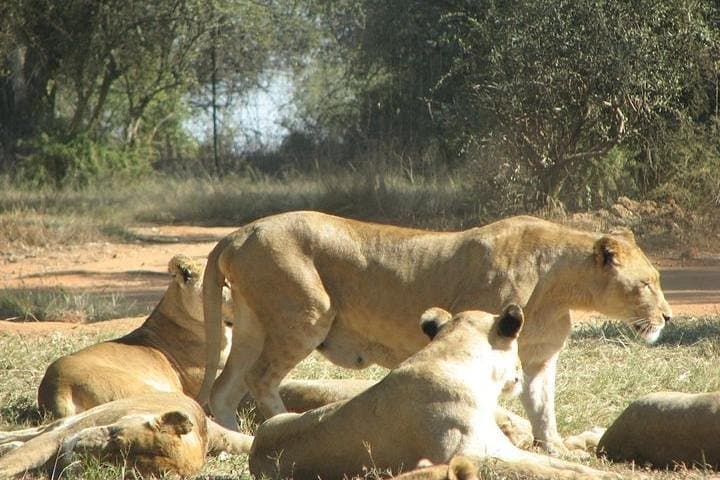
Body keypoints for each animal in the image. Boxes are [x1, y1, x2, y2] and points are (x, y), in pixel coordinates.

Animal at [0, 392, 252, 479]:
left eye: (112, 465)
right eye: (115, 435)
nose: (79, 448)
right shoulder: (64, 434)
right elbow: (17, 460)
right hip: (71, 420)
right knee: (32, 432)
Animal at [199, 212, 672, 453]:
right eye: (647, 284)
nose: (668, 318)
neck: (560, 288)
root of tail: (240, 231)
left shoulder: (539, 359)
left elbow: (543, 407)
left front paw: (554, 447)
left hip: (251, 325)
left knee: (224, 388)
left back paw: (240, 437)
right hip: (307, 313)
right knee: (259, 378)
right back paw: (281, 425)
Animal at [249, 306, 618, 480]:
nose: (518, 375)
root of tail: (254, 451)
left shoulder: (502, 448)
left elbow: (557, 465)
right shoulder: (471, 457)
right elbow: (539, 472)